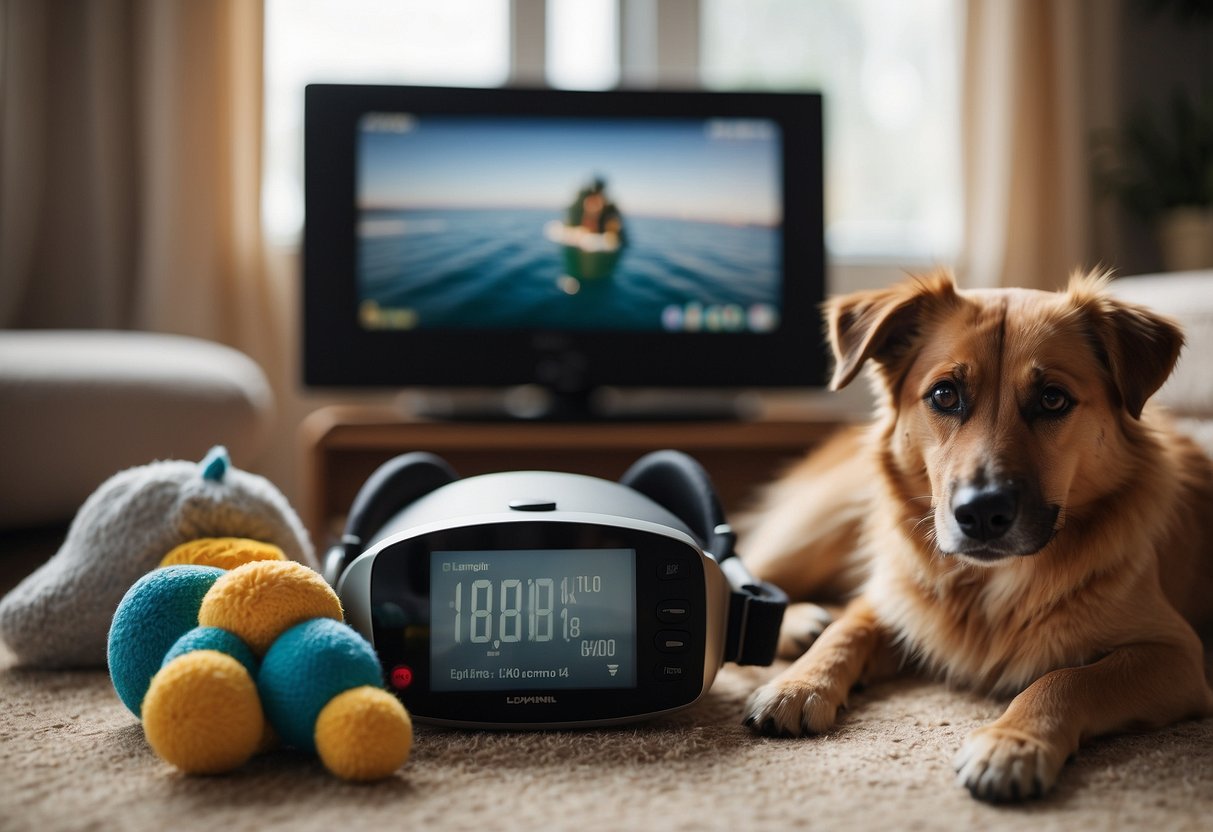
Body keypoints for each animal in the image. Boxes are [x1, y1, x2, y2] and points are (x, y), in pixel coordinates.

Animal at [737, 271, 1213, 800]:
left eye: (1052, 399)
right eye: (945, 395)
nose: (982, 513)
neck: (986, 587)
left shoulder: (1178, 657)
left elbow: (1069, 678)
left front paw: (1013, 742)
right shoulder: (896, 594)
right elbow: (848, 627)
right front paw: (798, 684)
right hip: (819, 528)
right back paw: (798, 623)